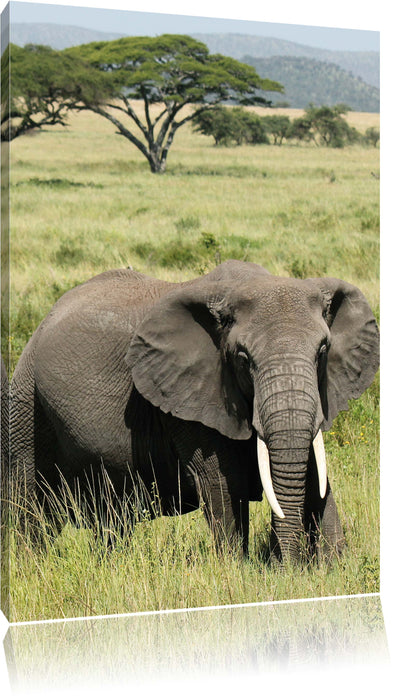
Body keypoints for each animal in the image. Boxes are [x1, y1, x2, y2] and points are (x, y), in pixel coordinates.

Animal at [10, 260, 379, 561]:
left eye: (323, 350)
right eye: (243, 358)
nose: (283, 563)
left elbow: (316, 470)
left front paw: (333, 566)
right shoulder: (189, 398)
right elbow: (220, 480)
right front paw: (237, 571)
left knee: (113, 518)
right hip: (26, 403)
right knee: (31, 508)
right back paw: (32, 568)